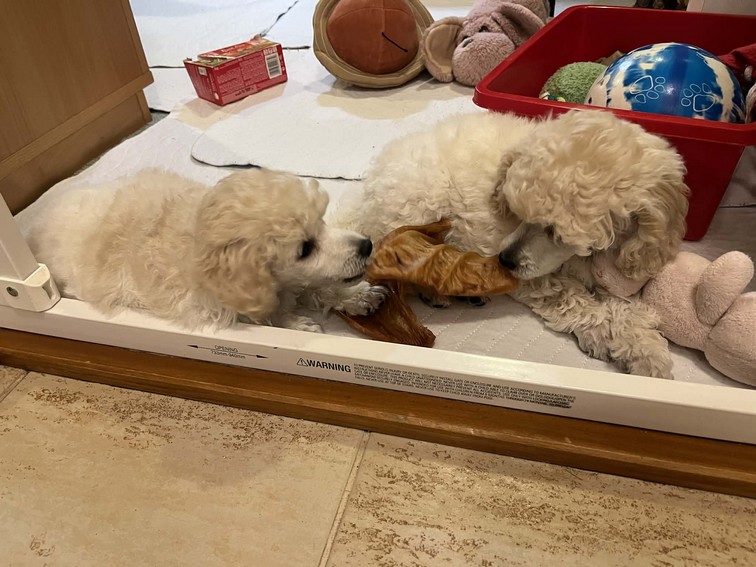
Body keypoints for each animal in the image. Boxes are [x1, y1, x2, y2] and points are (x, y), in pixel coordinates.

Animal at [17, 168, 386, 332]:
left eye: (322, 221)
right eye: (305, 248)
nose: (367, 245)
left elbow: (315, 286)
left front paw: (357, 296)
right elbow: (273, 311)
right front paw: (297, 323)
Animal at [338, 109, 689, 378]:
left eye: (555, 232)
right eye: (516, 210)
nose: (504, 260)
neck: (592, 255)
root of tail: (366, 196)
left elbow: (622, 302)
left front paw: (644, 345)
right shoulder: (537, 280)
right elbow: (578, 302)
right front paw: (619, 341)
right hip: (419, 206)